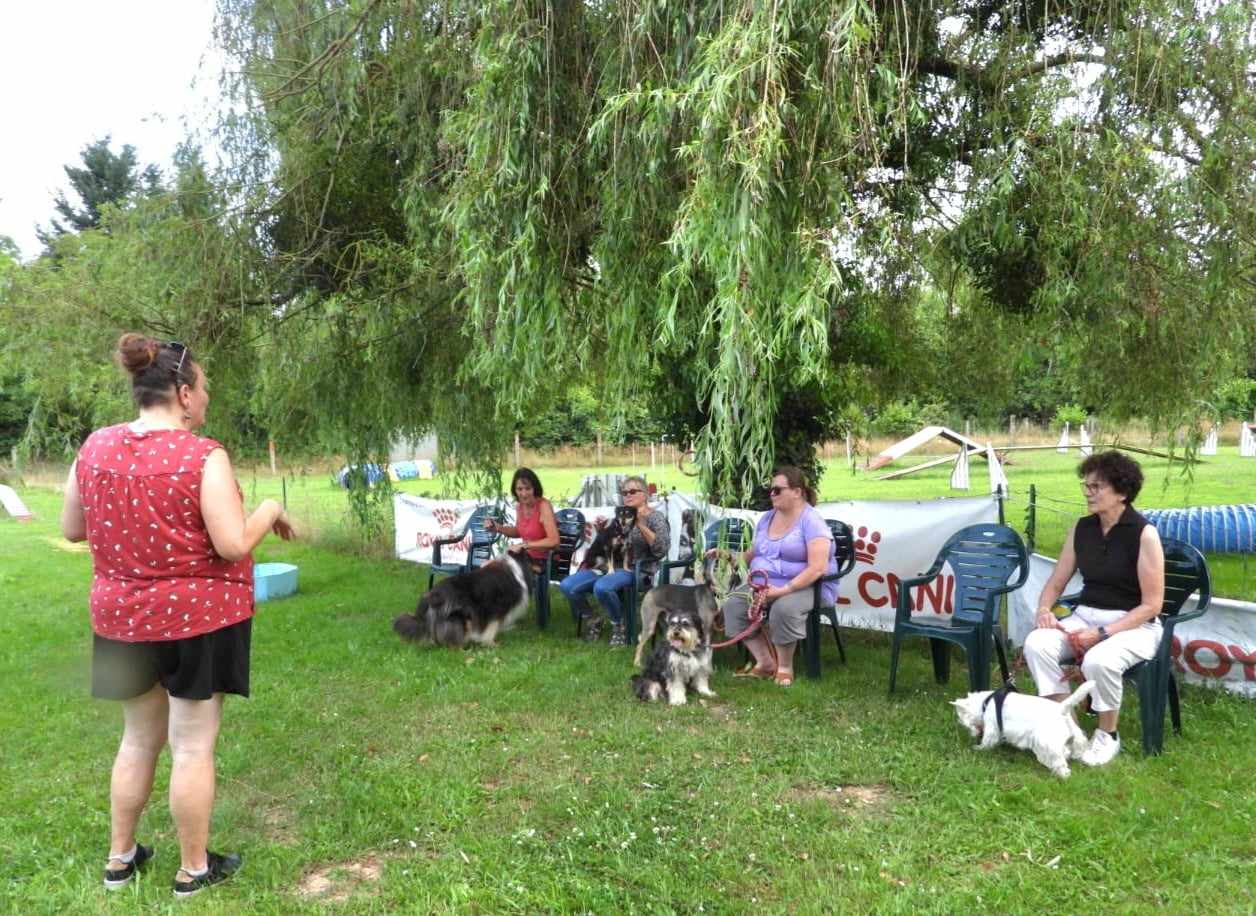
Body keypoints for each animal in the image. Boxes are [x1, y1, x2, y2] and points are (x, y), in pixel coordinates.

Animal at [393, 551, 533, 648]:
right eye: (531, 558)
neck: (517, 567)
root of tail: (434, 594)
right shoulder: (496, 609)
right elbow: (491, 628)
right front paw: (491, 644)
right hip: (461, 617)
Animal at [952, 680, 1095, 778]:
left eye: (961, 716)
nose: (969, 732)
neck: (985, 703)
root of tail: (1061, 708)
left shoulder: (992, 728)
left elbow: (988, 741)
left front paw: (979, 748)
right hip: (1073, 733)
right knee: (1077, 747)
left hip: (1046, 740)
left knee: (1060, 756)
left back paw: (1061, 773)